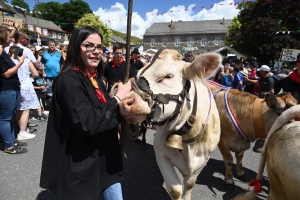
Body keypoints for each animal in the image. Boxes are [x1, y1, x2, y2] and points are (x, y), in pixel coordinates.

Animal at [120, 48, 221, 200]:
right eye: (137, 75)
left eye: (168, 76)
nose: (126, 102)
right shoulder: (160, 153)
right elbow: (175, 189)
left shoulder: (203, 161)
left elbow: (190, 184)